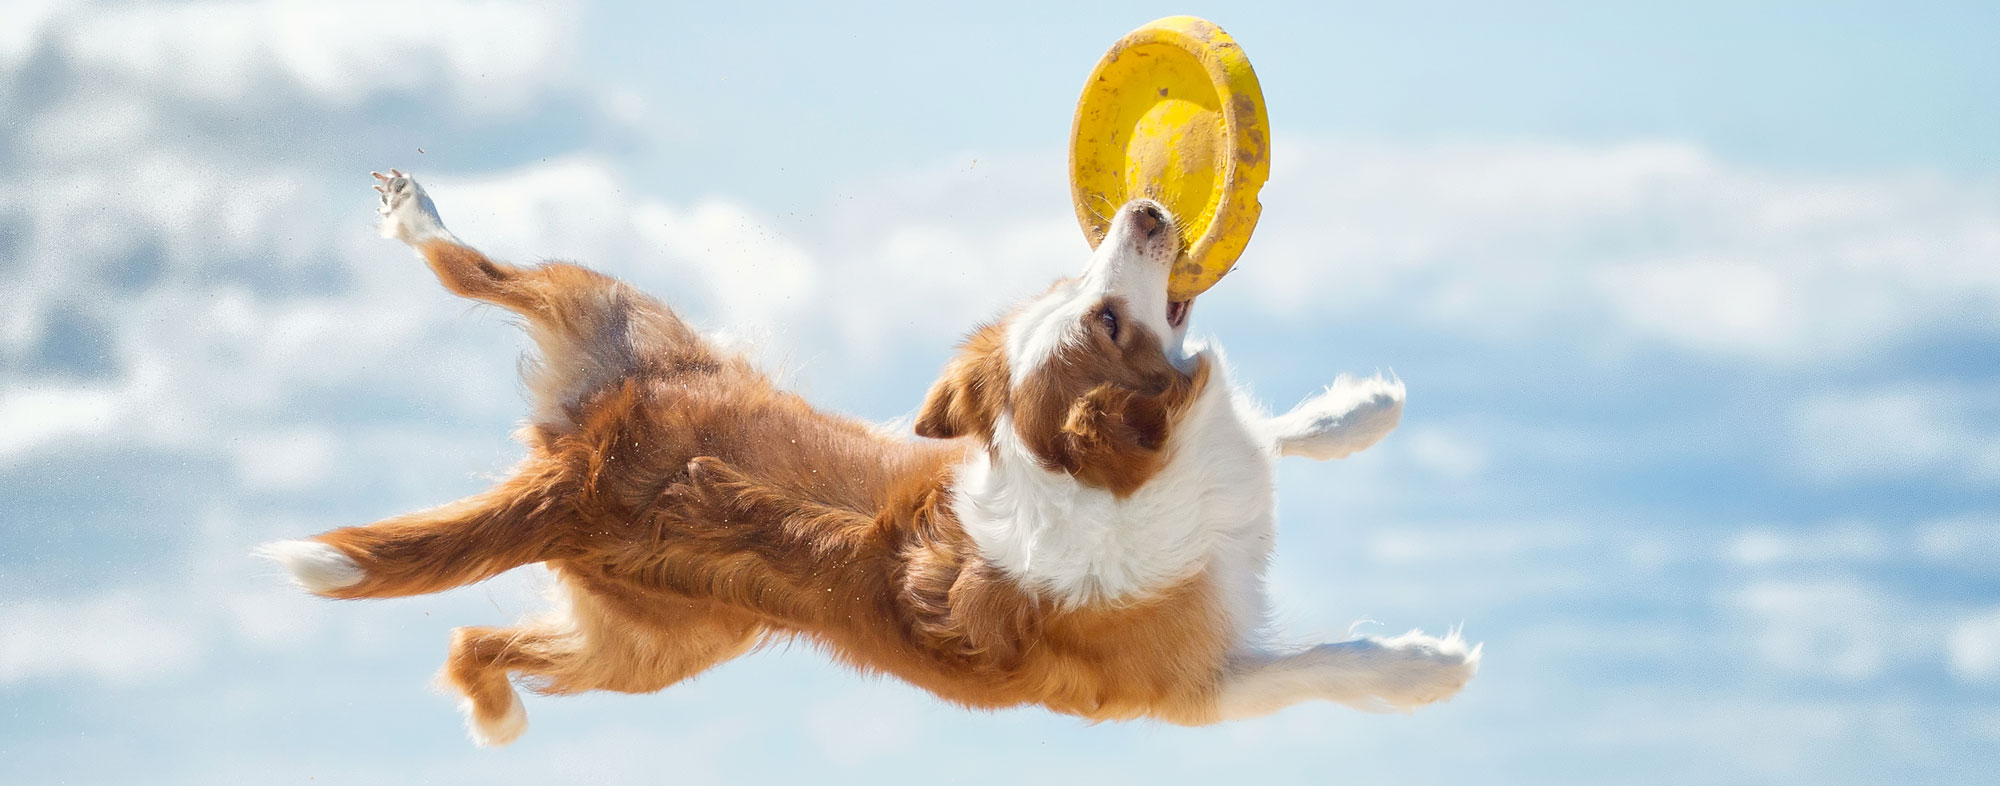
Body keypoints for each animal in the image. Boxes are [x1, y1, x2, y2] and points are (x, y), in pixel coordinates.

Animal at [258, 168, 1480, 744]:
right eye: (1098, 317)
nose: (1137, 208)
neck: (1108, 476)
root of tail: (585, 465)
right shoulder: (1186, 689)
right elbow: (1319, 663)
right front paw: (1421, 667)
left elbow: (1271, 436)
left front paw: (1361, 409)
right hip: (660, 651)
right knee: (480, 633)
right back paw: (499, 720)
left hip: (623, 335)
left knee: (482, 278)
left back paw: (417, 215)